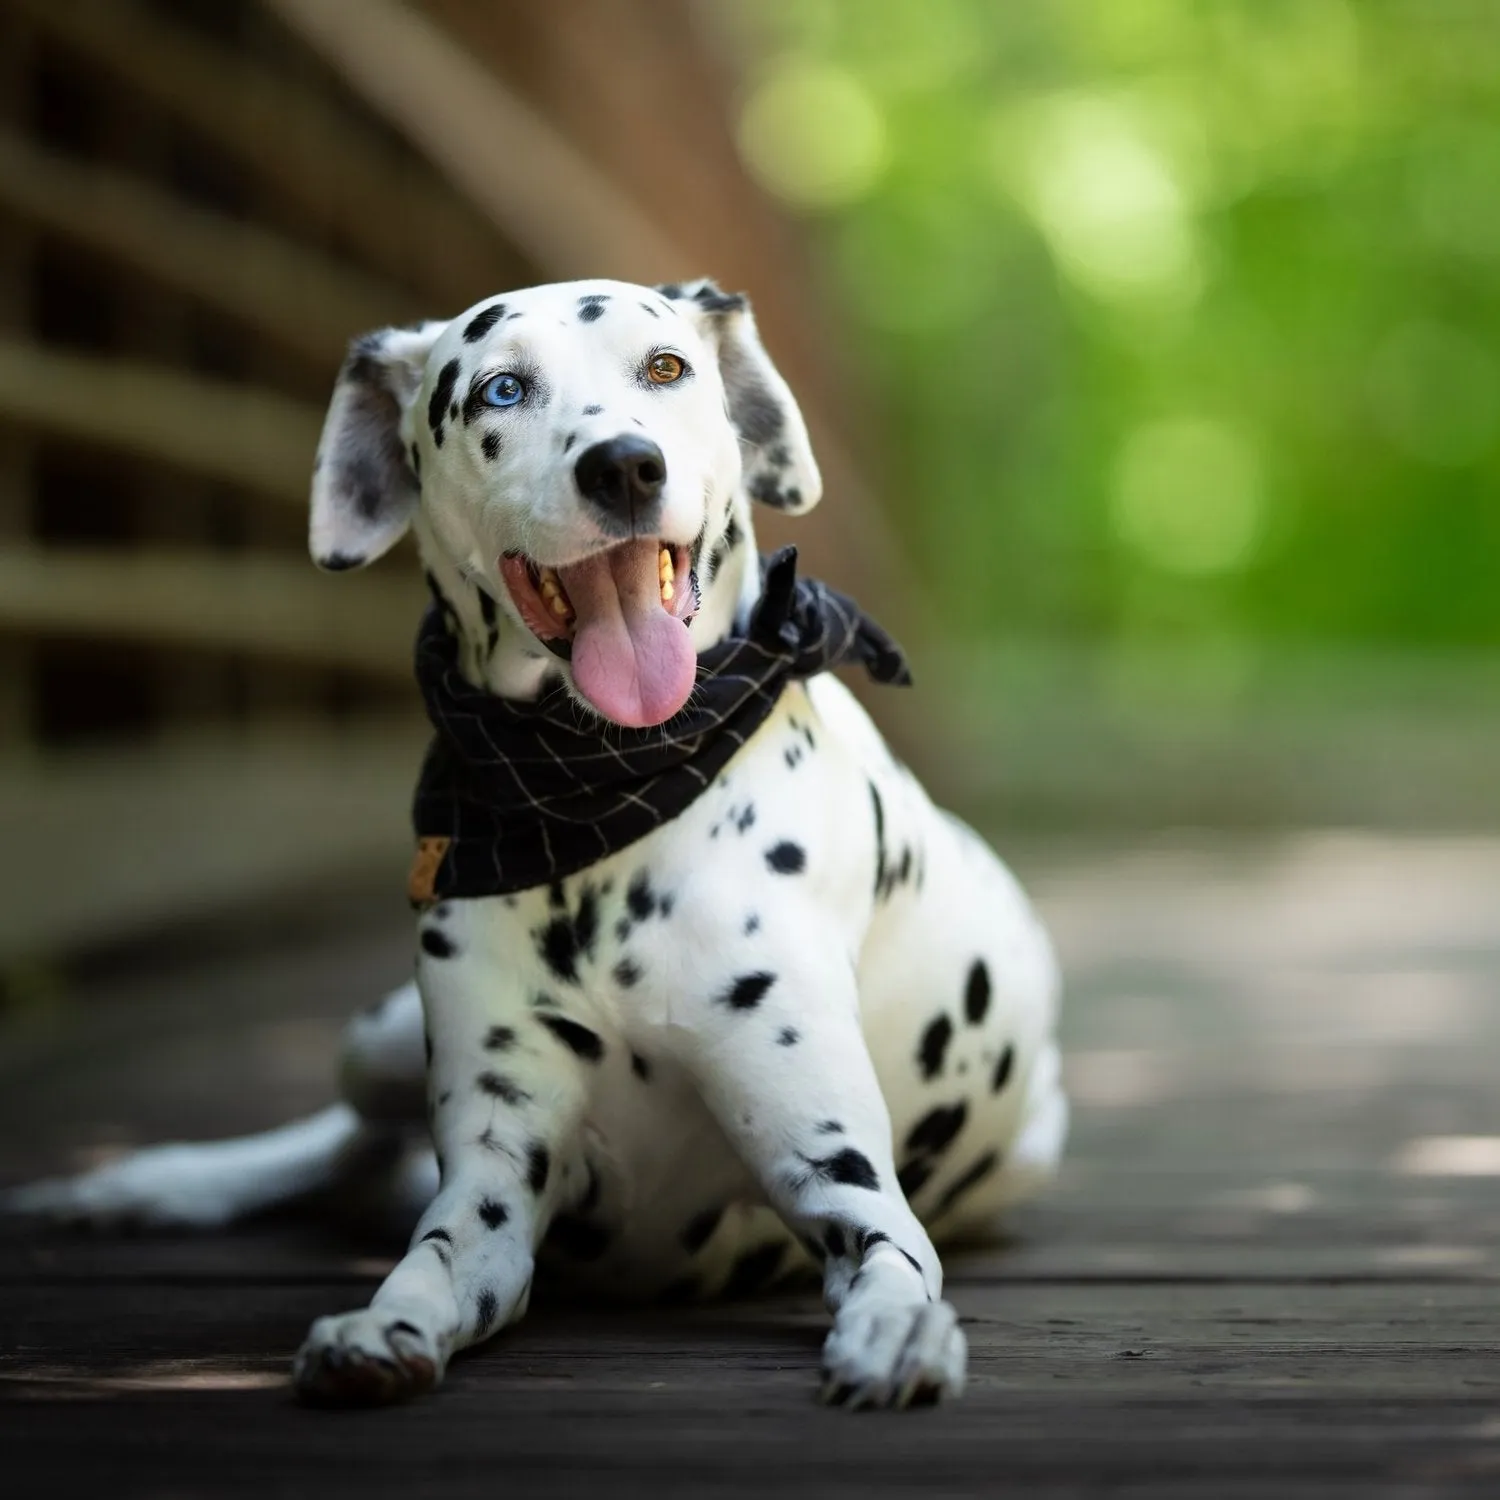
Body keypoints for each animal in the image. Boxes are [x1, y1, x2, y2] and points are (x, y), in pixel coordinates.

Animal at [8, 279, 1068, 1404]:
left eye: (664, 367)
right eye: (501, 390)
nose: (625, 465)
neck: (597, 797)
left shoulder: (842, 1179)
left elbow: (894, 1263)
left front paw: (902, 1335)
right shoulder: (489, 1193)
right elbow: (428, 1264)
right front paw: (376, 1329)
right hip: (373, 1042)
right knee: (338, 1141)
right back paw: (147, 1183)